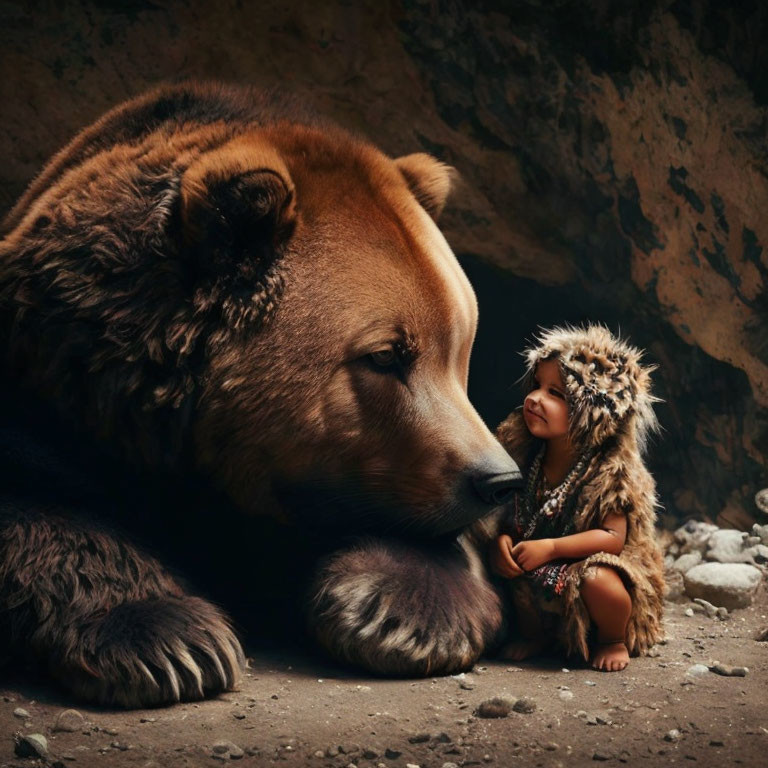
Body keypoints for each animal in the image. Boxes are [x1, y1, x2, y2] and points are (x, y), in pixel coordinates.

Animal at [0, 82, 520, 708]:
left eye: (460, 345)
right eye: (385, 355)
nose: (497, 479)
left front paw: (395, 609)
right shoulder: (50, 401)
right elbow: (42, 508)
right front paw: (171, 642)